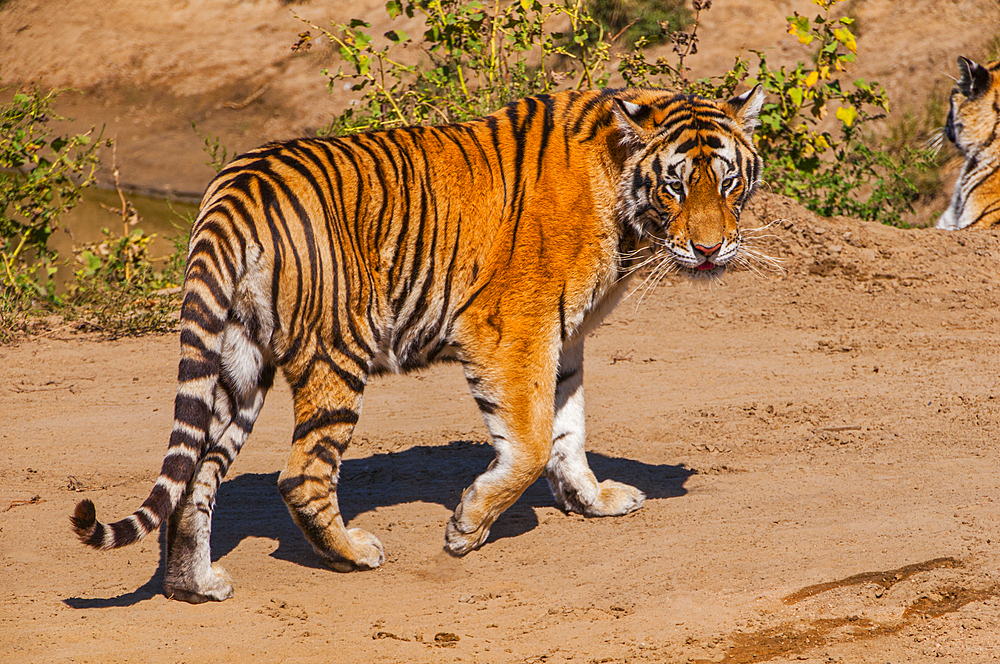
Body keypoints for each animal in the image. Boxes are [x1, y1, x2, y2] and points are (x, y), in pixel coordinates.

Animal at [70, 83, 764, 600]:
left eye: (729, 182)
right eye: (675, 186)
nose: (710, 250)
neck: (620, 191)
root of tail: (237, 188)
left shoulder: (565, 340)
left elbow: (569, 430)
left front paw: (593, 501)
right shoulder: (511, 331)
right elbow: (532, 441)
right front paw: (467, 528)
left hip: (237, 364)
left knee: (196, 476)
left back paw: (195, 585)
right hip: (337, 350)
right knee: (301, 473)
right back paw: (354, 553)